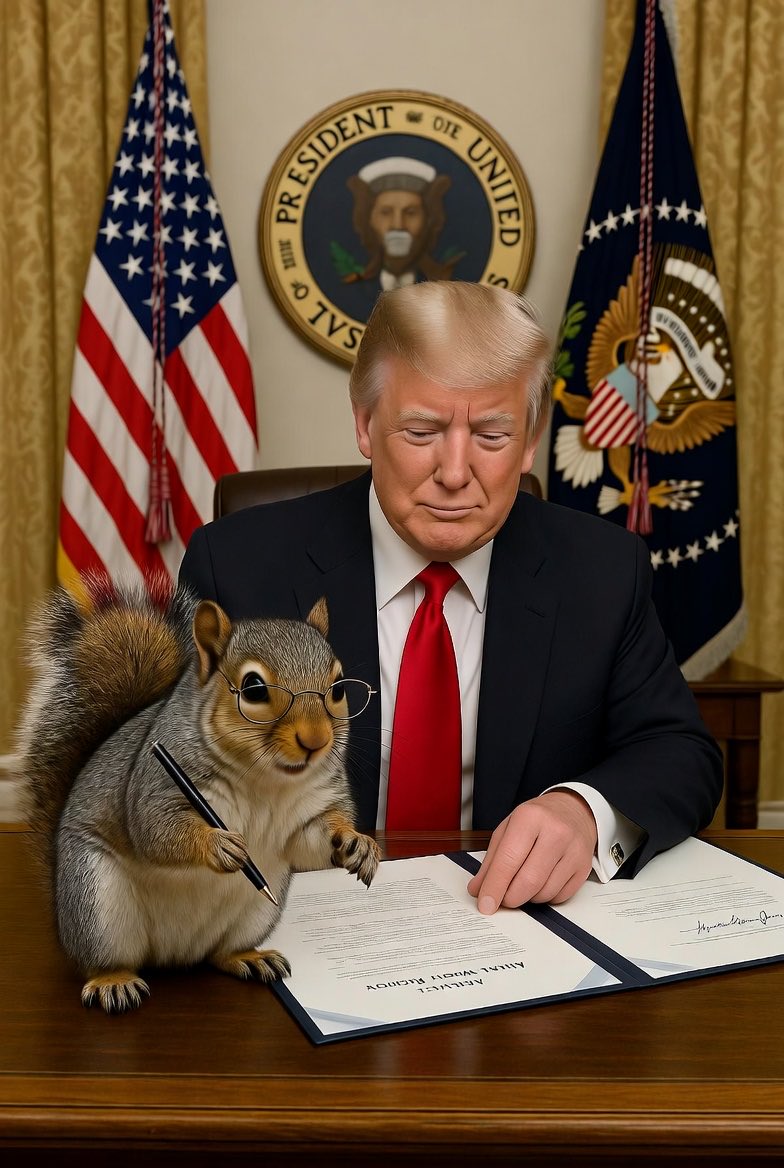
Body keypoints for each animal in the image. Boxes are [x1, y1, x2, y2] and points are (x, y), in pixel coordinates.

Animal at [16, 576, 380, 1014]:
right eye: (254, 688)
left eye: (339, 688)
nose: (316, 741)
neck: (268, 780)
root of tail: (175, 954)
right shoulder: (158, 780)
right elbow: (154, 829)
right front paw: (217, 845)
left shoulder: (315, 804)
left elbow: (310, 840)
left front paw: (357, 843)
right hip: (95, 903)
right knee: (102, 958)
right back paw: (112, 981)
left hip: (258, 909)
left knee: (219, 953)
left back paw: (249, 957)